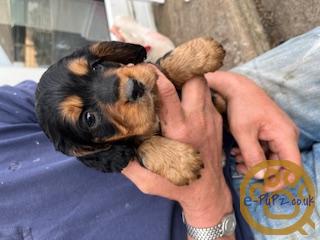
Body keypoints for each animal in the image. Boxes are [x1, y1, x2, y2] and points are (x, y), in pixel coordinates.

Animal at [35, 36, 225, 185]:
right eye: (89, 118)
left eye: (97, 66)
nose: (134, 88)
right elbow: (141, 144)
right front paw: (180, 162)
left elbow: (162, 68)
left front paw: (202, 52)